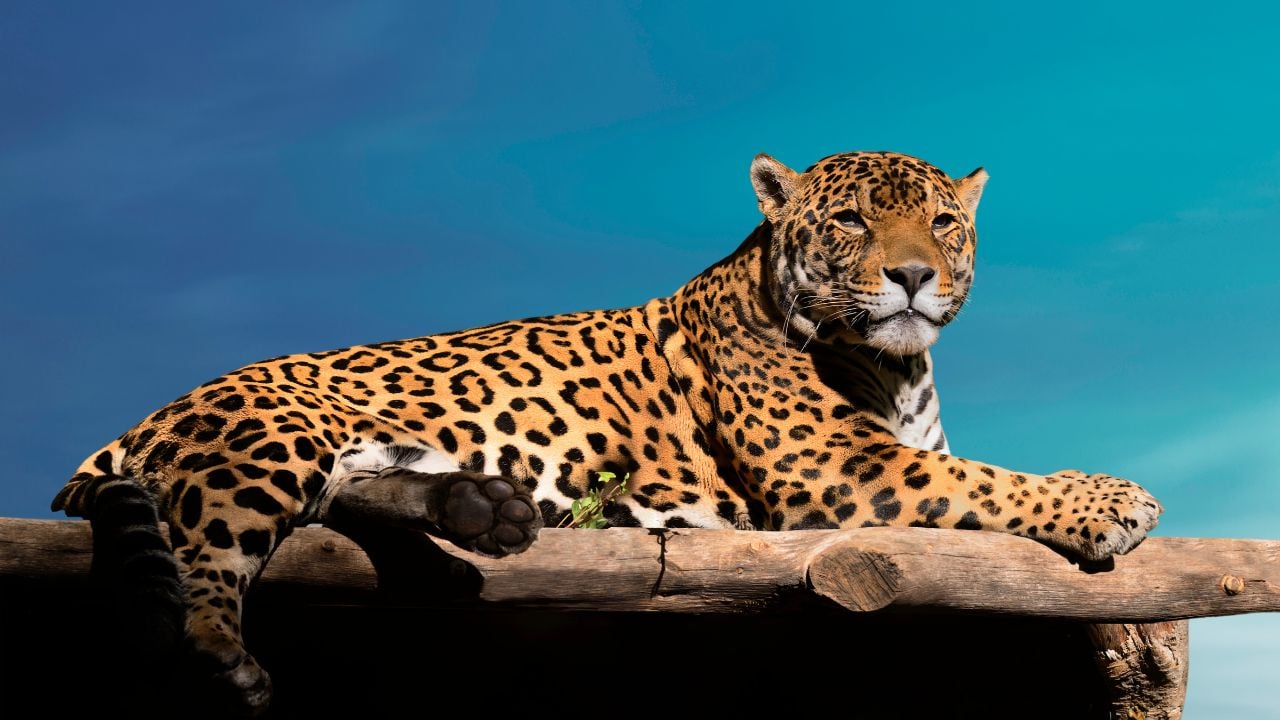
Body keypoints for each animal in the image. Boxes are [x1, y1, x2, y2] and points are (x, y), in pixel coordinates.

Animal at [52, 150, 1162, 715]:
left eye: (942, 221)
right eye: (849, 220)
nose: (913, 277)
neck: (896, 365)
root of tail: (151, 413)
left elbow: (972, 473)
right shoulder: (834, 468)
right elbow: (990, 483)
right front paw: (1111, 499)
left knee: (352, 498)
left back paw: (484, 511)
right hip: (263, 445)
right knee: (205, 558)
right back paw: (220, 661)